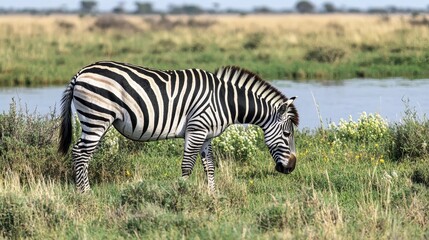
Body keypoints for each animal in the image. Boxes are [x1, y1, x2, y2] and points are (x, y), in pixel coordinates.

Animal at [57, 61, 298, 192]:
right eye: (287, 134)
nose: (291, 168)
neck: (223, 100)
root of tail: (81, 72)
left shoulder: (206, 135)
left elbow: (210, 166)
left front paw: (212, 194)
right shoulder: (196, 129)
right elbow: (187, 166)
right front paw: (182, 194)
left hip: (95, 118)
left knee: (80, 153)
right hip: (96, 118)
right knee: (80, 153)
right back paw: (85, 193)